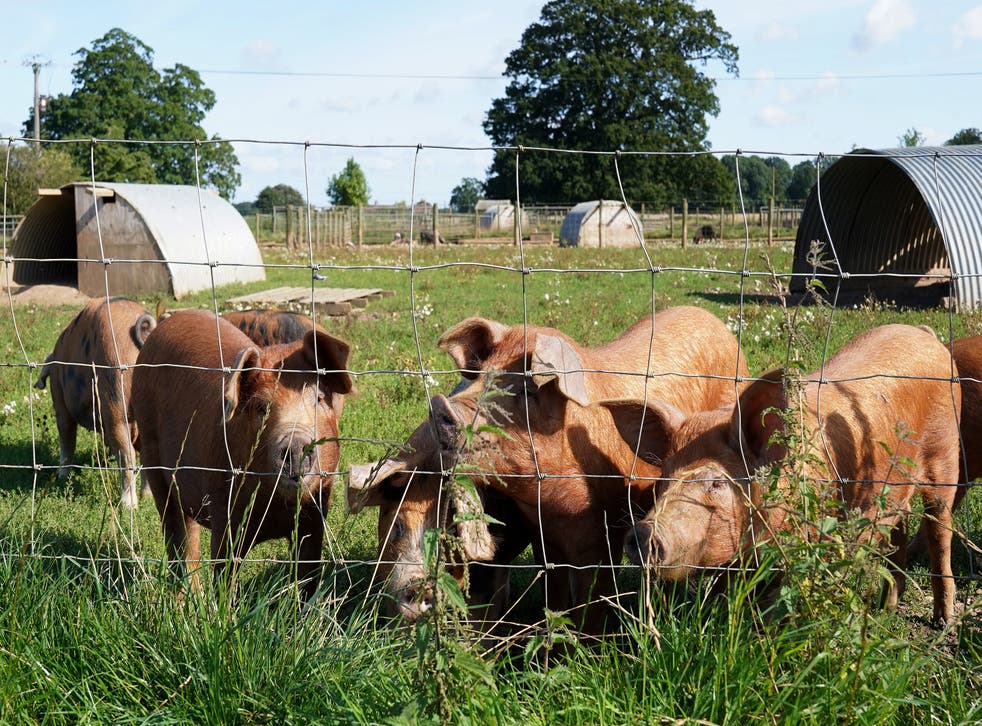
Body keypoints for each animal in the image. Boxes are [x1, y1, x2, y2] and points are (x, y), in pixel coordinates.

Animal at [35, 297, 156, 508]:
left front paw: (61, 478)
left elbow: (67, 440)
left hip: (114, 396)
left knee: (127, 455)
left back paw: (128, 505)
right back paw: (147, 498)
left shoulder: (60, 400)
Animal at [131, 309, 352, 597]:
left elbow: (308, 578)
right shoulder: (225, 515)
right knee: (180, 538)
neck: (275, 509)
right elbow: (224, 576)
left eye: (319, 399)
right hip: (152, 452)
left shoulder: (315, 516)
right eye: (261, 407)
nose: (295, 446)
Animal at [349, 306, 748, 629]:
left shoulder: (603, 536)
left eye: (527, 391)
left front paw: (584, 648)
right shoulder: (543, 538)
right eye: (481, 376)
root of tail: (714, 321)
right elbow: (548, 595)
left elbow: (591, 600)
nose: (441, 407)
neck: (545, 499)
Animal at [603, 324, 959, 625]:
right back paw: (887, 607)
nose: (643, 532)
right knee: (899, 525)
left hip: (945, 456)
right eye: (663, 478)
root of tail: (926, 335)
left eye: (717, 482)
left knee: (939, 531)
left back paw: (943, 621)